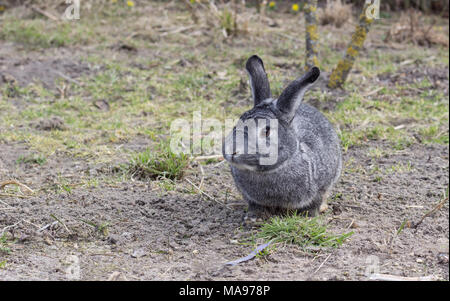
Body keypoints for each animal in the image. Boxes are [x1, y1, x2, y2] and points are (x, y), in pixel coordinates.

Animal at [223, 55, 342, 217]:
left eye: (267, 131)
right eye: (236, 124)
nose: (232, 151)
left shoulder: (321, 186)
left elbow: (315, 201)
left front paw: (310, 215)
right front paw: (254, 216)